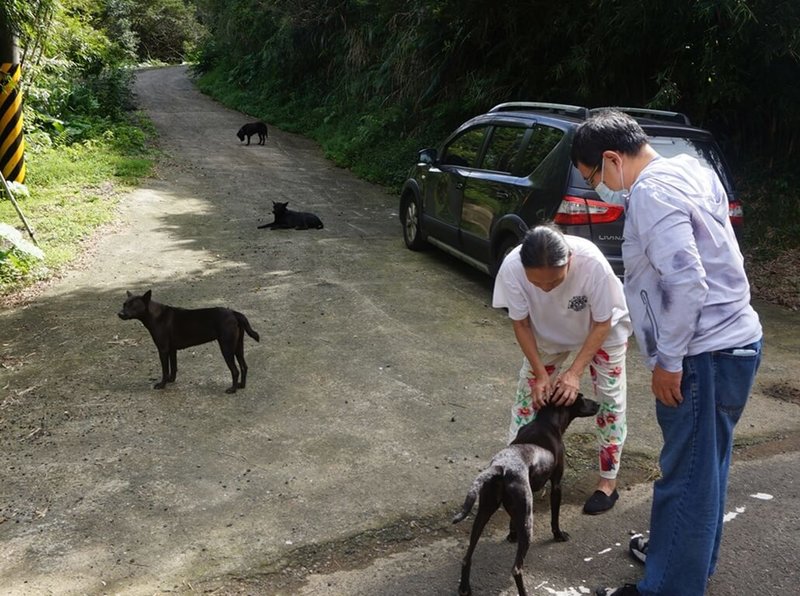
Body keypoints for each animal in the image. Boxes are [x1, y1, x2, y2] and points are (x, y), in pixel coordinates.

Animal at [117, 290, 260, 394]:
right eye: (124, 304)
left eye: (133, 306)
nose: (120, 314)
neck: (155, 315)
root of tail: (234, 313)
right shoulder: (172, 349)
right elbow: (173, 367)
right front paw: (171, 380)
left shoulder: (163, 349)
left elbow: (165, 369)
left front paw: (162, 384)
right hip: (238, 347)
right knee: (244, 366)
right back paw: (241, 385)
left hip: (227, 347)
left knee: (235, 370)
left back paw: (232, 389)